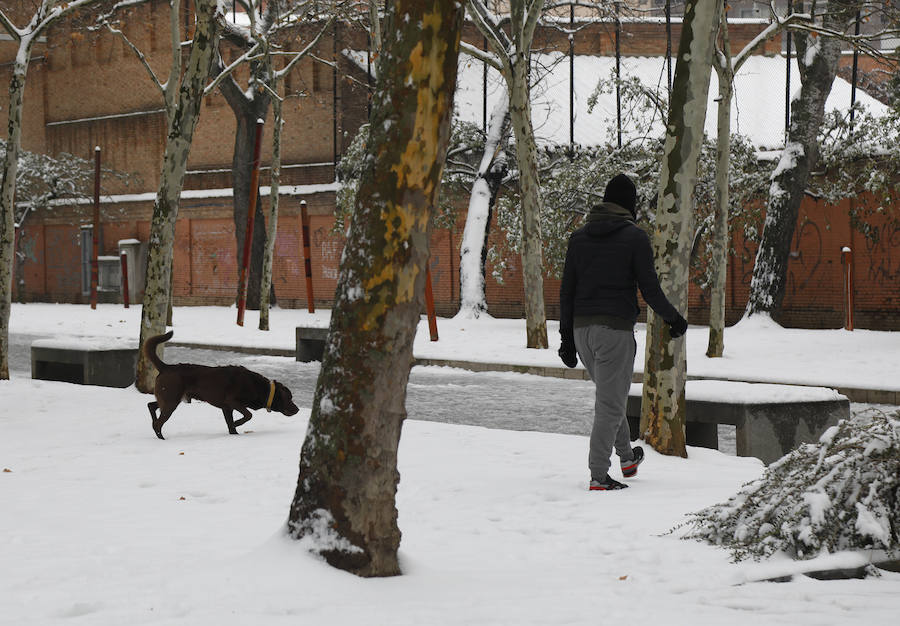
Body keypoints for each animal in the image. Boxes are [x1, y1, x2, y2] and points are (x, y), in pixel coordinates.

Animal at [144, 330, 298, 436]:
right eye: (289, 398)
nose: (297, 409)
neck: (260, 388)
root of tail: (167, 367)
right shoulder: (233, 401)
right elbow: (248, 415)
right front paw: (237, 423)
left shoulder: (227, 408)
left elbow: (231, 425)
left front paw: (234, 432)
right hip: (171, 400)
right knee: (158, 424)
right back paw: (161, 437)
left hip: (169, 398)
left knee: (151, 405)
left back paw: (153, 423)